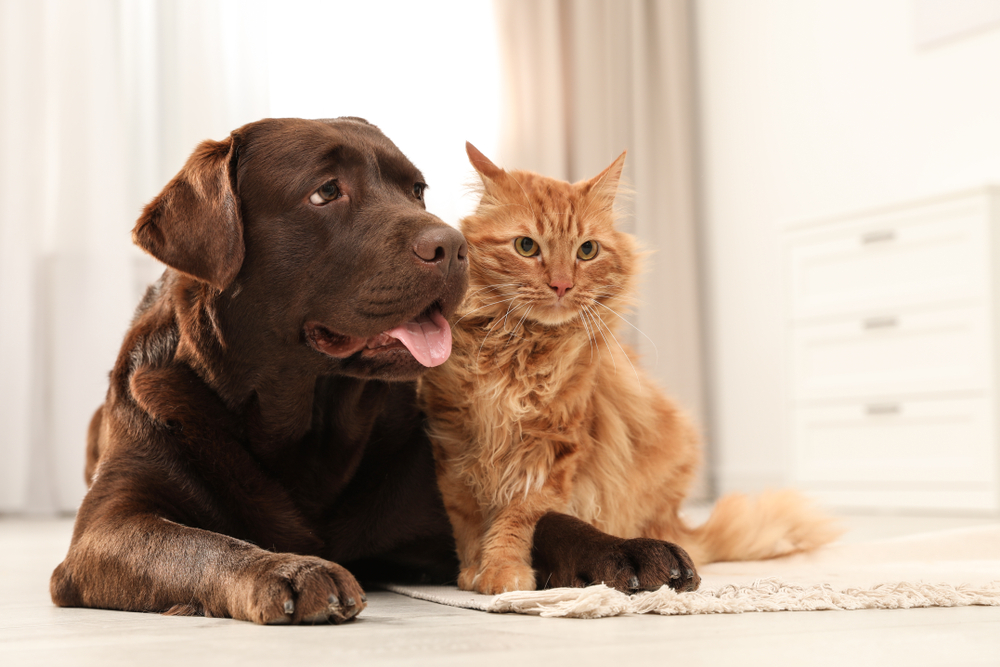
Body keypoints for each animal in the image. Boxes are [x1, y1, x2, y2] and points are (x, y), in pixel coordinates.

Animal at [418, 145, 840, 596]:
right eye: (526, 246)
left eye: (587, 251)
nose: (562, 285)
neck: (520, 351)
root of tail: (676, 522)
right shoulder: (454, 443)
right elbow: (466, 518)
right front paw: (472, 570)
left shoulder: (553, 450)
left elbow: (519, 517)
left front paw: (502, 572)